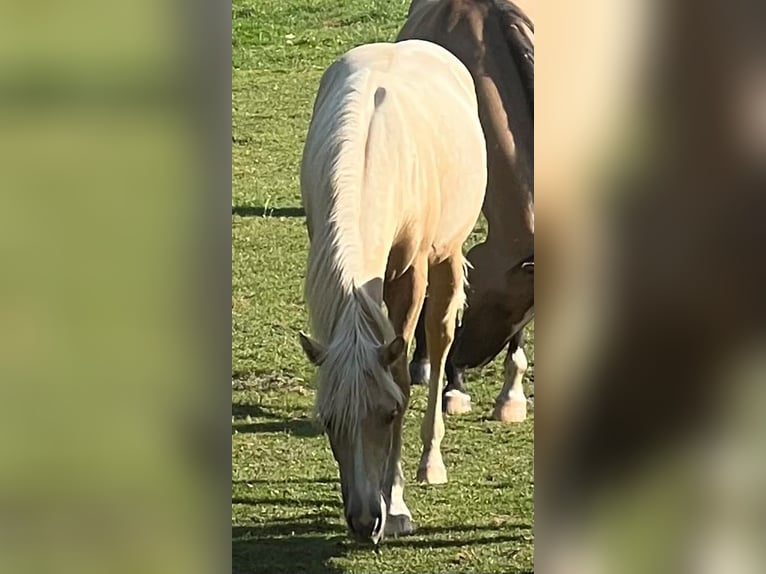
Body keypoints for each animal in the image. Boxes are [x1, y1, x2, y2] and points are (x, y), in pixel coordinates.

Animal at [298, 39, 486, 543]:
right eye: (329, 420)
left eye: (388, 413)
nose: (365, 523)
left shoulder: (412, 272)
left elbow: (402, 372)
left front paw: (397, 504)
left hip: (446, 256)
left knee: (439, 341)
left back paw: (430, 462)